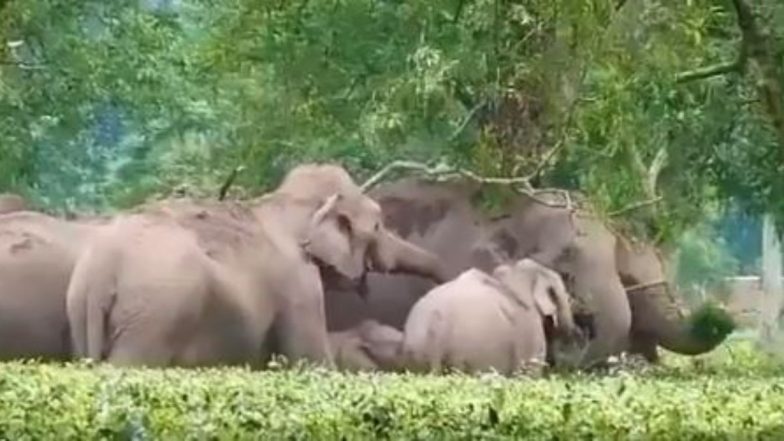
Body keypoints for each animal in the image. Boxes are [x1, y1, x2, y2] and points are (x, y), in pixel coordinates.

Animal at [66, 164, 448, 368]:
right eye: (379, 225)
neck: (285, 201)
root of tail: (102, 271)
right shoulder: (298, 283)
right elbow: (309, 358)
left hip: (81, 313)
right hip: (153, 316)